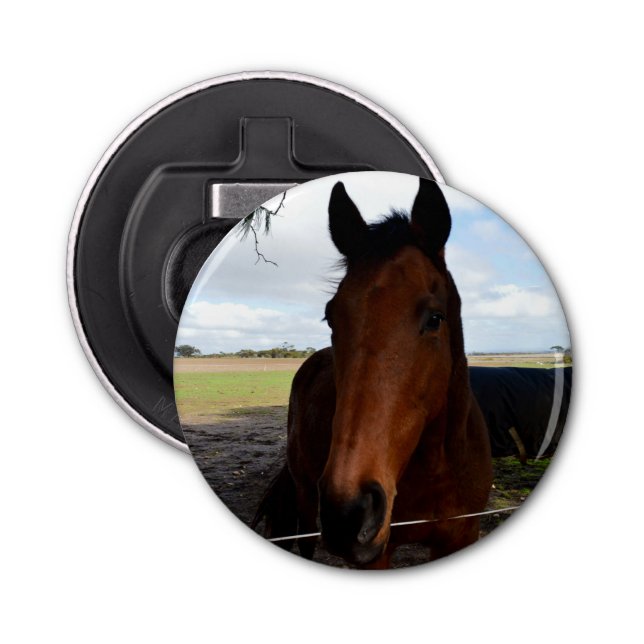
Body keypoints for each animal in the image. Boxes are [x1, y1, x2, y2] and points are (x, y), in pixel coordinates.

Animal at [253, 179, 493, 568]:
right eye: (331, 317)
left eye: (435, 318)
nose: (348, 513)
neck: (436, 468)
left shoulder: (461, 536)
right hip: (306, 494)